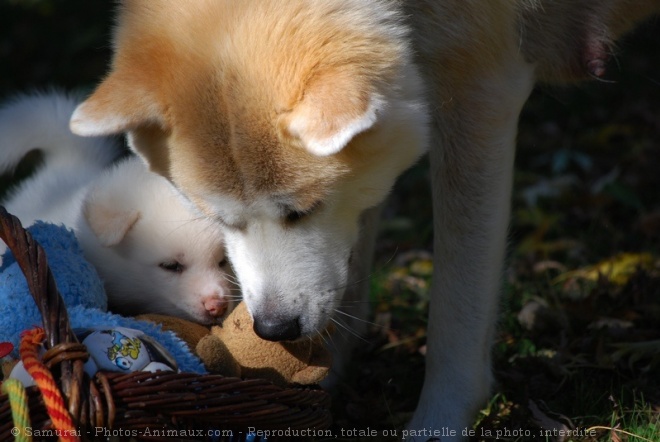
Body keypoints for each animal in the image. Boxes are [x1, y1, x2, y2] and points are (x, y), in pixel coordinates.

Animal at [68, 0, 660, 438]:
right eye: (218, 219)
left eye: (302, 210)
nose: (273, 329)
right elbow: (347, 285)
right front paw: (321, 381)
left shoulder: (480, 92)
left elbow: (457, 310)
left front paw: (437, 425)